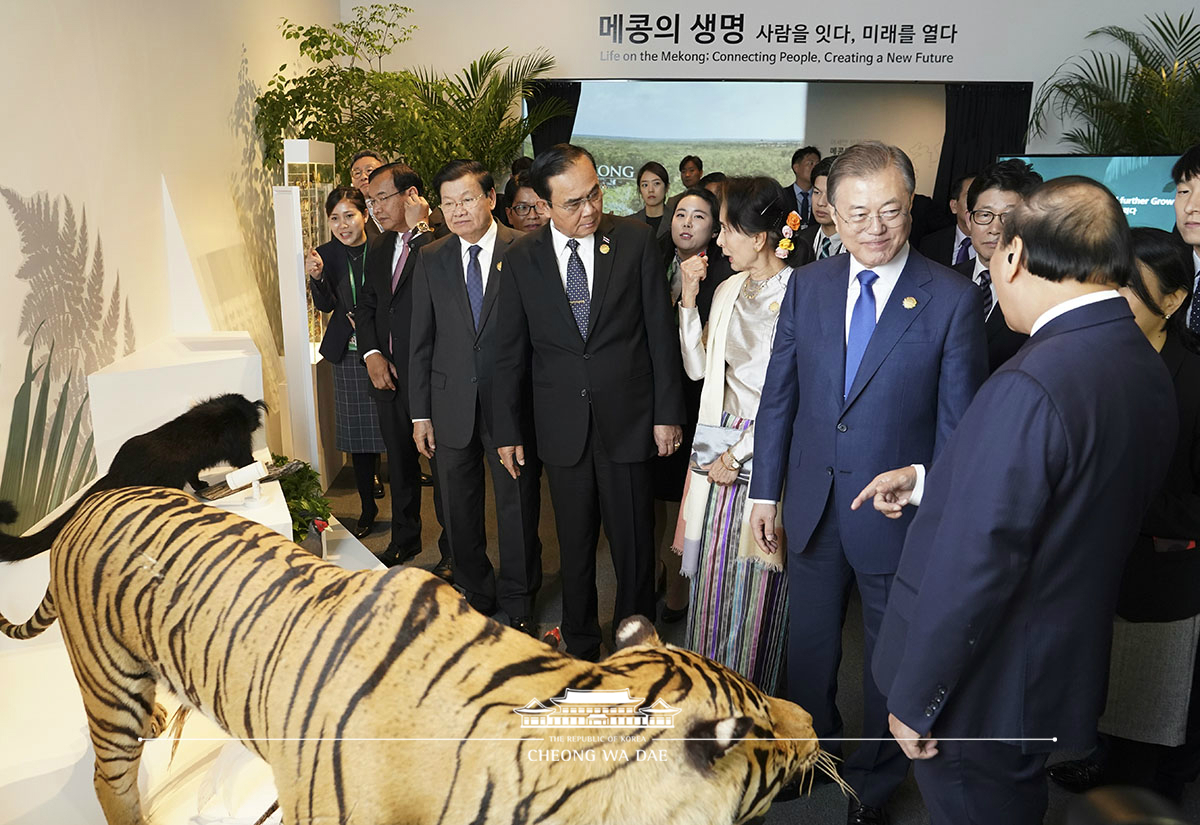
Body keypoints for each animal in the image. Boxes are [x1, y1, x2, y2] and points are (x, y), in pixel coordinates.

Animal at [0, 390, 265, 561]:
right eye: (251, 424)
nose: (254, 423)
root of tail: (115, 471)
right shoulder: (238, 445)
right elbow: (244, 460)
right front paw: (259, 465)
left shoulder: (193, 466)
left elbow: (196, 477)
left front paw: (202, 485)